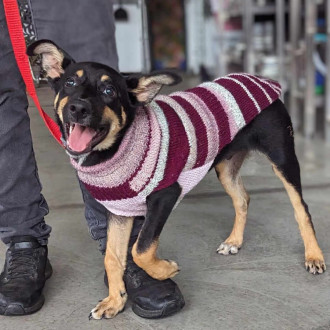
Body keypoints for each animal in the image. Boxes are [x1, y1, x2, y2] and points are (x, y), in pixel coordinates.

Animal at [27, 39, 326, 320]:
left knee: (302, 209)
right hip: (225, 166)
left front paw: (164, 270)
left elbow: (140, 249)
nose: (77, 108)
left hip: (283, 158)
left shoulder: (164, 196)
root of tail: (262, 81)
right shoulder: (119, 210)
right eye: (69, 83)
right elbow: (113, 257)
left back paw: (314, 256)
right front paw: (114, 301)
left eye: (108, 91)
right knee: (243, 198)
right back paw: (234, 241)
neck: (117, 147)